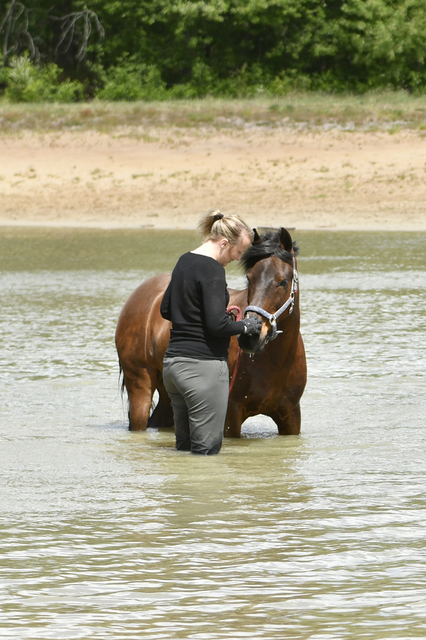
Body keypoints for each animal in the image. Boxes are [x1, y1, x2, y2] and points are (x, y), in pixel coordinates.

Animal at [114, 228, 306, 438]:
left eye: (283, 281)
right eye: (249, 278)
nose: (251, 338)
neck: (275, 362)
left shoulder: (290, 415)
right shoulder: (231, 415)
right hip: (140, 386)